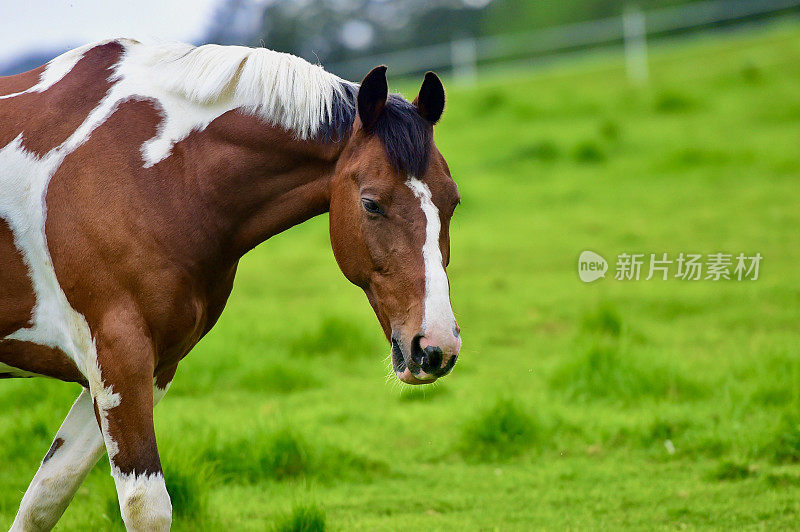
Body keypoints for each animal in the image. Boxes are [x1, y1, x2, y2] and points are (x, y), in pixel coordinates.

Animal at [0, 41, 460, 532]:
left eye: (453, 201)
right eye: (371, 204)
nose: (436, 348)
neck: (161, 180)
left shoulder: (142, 371)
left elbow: (44, 497)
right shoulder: (118, 362)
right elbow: (145, 507)